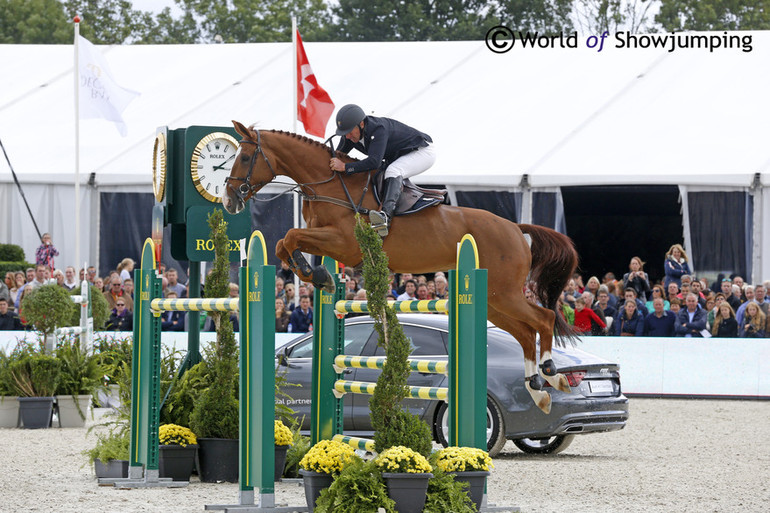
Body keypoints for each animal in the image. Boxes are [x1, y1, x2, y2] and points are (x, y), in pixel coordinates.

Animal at [222, 121, 576, 412]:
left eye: (244, 157)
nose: (229, 200)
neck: (329, 185)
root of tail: (516, 228)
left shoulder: (343, 243)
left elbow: (290, 237)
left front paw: (317, 275)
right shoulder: (324, 240)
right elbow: (284, 243)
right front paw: (317, 275)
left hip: (504, 293)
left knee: (543, 320)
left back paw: (551, 375)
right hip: (492, 300)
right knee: (525, 332)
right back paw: (538, 392)